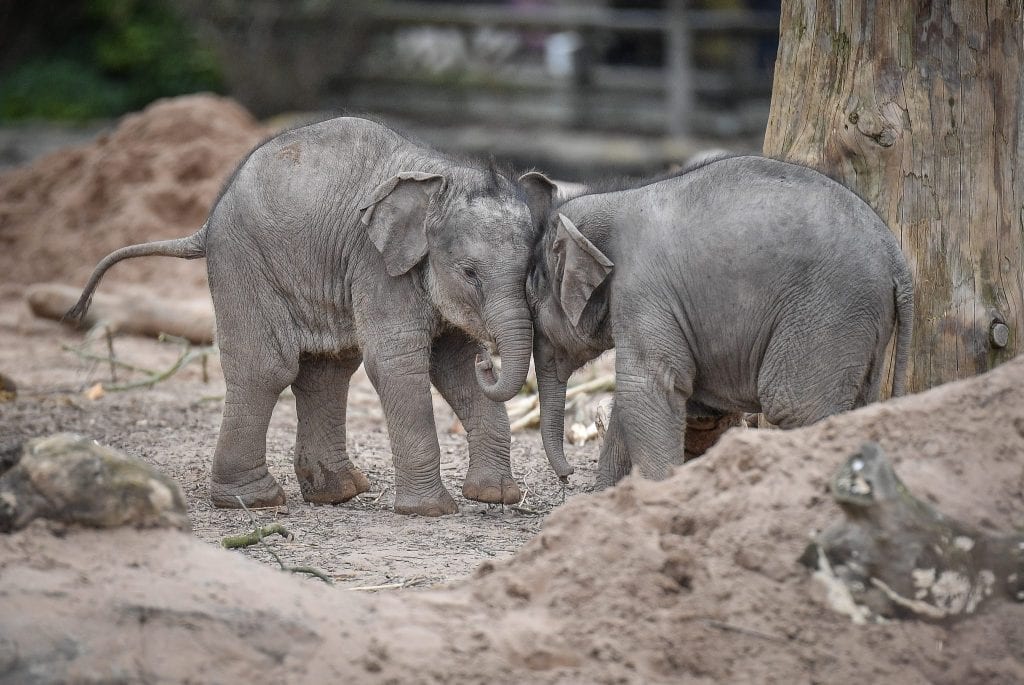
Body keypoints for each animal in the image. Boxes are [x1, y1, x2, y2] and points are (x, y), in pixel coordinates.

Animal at [67, 116, 537, 516]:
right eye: (470, 273)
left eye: (531, 271)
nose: (490, 358)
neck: (444, 175)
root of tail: (207, 222)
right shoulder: (378, 265)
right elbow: (397, 362)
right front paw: (431, 511)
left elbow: (453, 365)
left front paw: (496, 497)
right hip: (244, 261)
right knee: (267, 368)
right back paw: (255, 501)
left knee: (327, 370)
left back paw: (338, 493)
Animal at [520, 155, 914, 488]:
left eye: (530, 299)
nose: (567, 476)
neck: (613, 200)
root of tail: (897, 260)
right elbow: (634, 398)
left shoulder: (643, 292)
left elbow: (648, 386)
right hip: (862, 324)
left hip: (828, 313)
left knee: (799, 408)